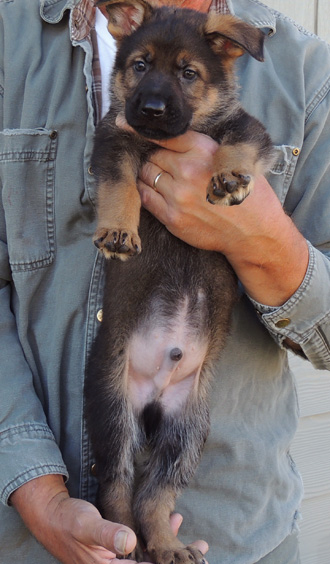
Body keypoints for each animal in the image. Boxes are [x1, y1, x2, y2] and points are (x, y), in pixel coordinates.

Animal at [84, 2, 274, 560]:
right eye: (140, 65)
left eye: (189, 74)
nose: (148, 109)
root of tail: (153, 394)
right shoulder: (114, 140)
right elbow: (120, 183)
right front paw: (118, 229)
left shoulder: (248, 128)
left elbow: (236, 143)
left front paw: (229, 178)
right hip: (113, 410)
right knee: (118, 485)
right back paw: (128, 542)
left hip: (187, 430)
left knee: (156, 492)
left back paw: (167, 543)